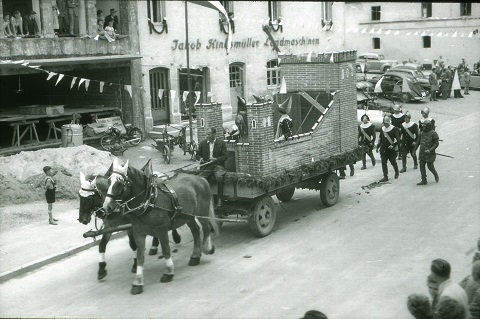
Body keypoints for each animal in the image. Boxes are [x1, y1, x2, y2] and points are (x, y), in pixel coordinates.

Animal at [100, 159, 219, 296]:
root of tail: (200, 178)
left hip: (202, 212)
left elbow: (166, 250)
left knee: (206, 228)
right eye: (109, 181)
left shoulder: (161, 231)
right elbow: (140, 256)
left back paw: (207, 248)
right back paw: (195, 256)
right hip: (188, 217)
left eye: (119, 183)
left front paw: (169, 272)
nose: (106, 207)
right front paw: (138, 282)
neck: (149, 200)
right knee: (195, 231)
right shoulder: (139, 233)